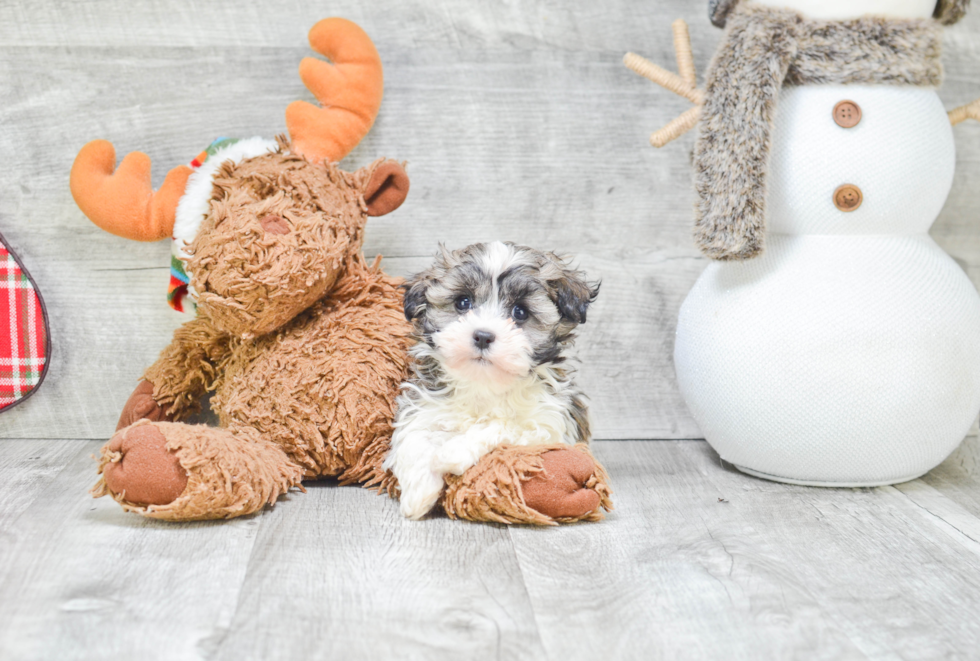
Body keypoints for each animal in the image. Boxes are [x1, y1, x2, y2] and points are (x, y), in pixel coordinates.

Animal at [380, 240, 596, 520]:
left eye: (520, 311)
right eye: (463, 302)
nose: (483, 336)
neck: (484, 383)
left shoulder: (550, 424)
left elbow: (501, 425)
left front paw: (451, 453)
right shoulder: (425, 405)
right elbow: (414, 435)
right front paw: (418, 493)